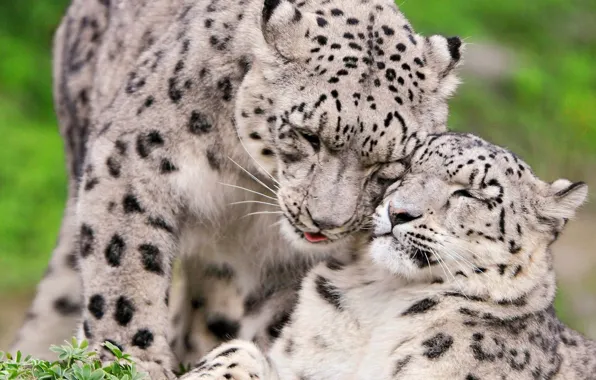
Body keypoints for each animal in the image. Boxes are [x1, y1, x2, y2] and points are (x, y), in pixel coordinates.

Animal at [11, 0, 464, 376]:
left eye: (390, 163)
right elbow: (123, 274)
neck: (245, 181)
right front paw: (133, 361)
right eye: (308, 135)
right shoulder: (132, 160)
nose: (326, 221)